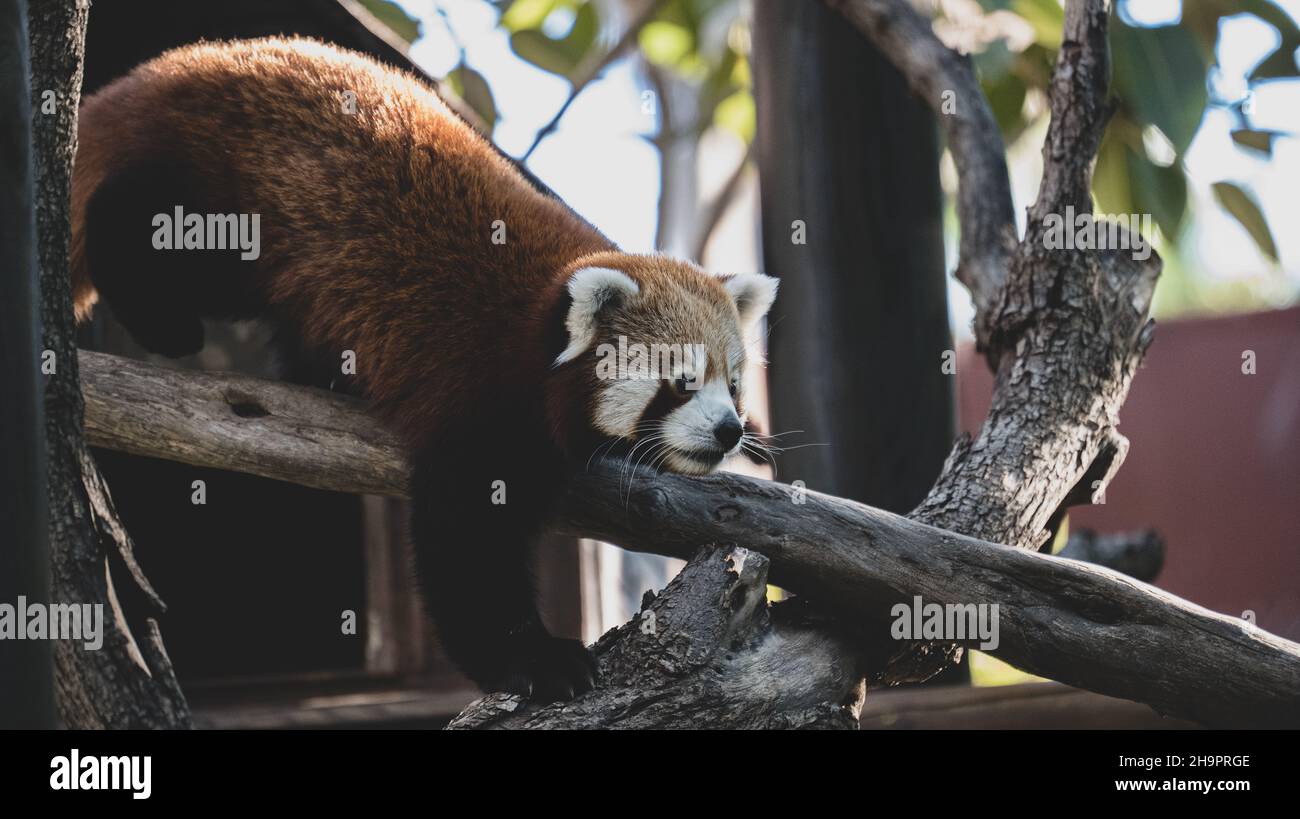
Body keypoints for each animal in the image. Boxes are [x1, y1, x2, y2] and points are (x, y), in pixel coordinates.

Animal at [71, 38, 774, 702]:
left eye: (734, 385)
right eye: (682, 381)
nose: (729, 430)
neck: (535, 330)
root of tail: (171, 69)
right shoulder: (475, 392)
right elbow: (464, 541)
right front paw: (534, 659)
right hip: (226, 200)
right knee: (143, 225)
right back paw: (164, 321)